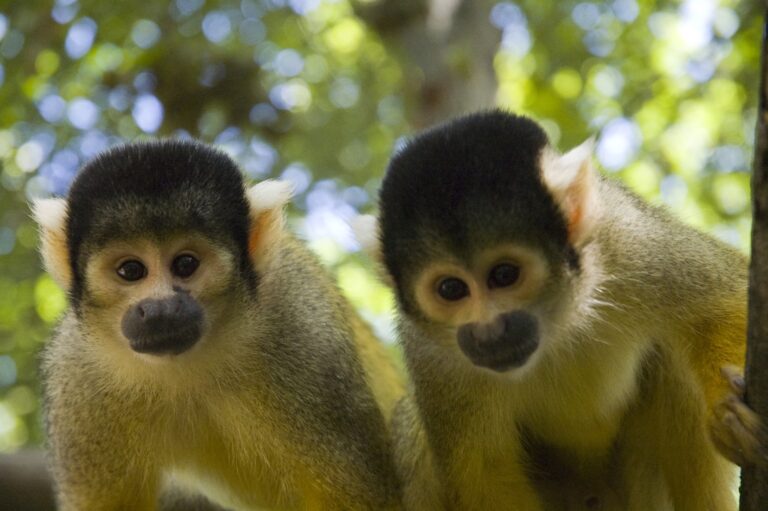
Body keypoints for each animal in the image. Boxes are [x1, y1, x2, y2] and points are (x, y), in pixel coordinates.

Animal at [32, 139, 405, 511]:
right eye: (131, 270)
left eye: (185, 264)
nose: (160, 309)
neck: (183, 369)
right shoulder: (77, 377)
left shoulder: (306, 337)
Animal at [353, 109, 763, 510]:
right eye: (451, 289)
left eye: (504, 274)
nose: (490, 330)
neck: (556, 321)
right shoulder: (431, 355)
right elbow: (486, 477)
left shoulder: (627, 238)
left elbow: (723, 300)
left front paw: (728, 413)